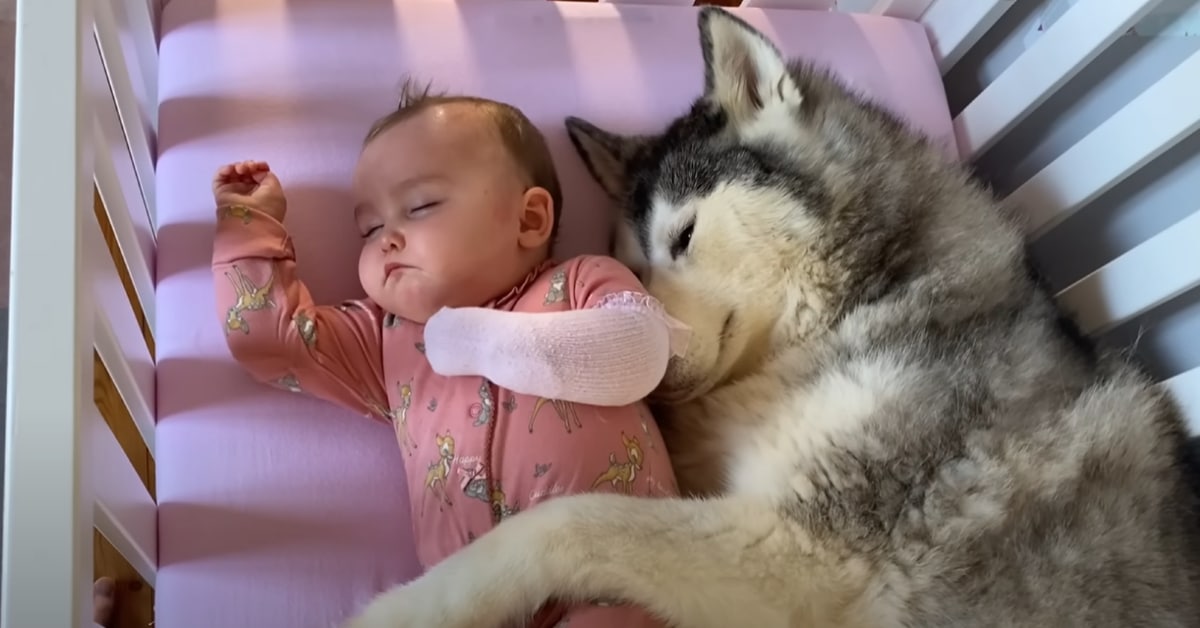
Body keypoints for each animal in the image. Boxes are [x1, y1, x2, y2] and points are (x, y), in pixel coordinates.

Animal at [343, 6, 1195, 628]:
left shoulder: (804, 553)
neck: (867, 302)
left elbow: (567, 522)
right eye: (633, 267)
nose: (641, 374)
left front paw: (405, 609)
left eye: (685, 236)